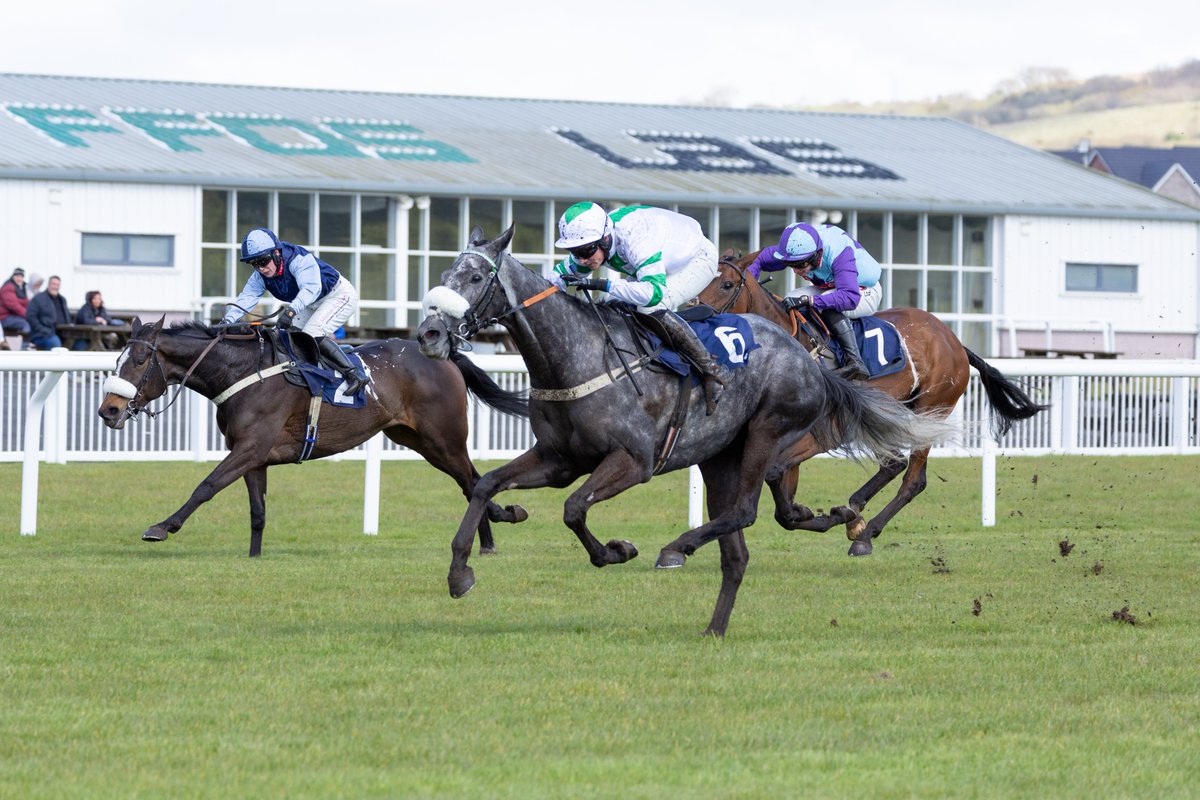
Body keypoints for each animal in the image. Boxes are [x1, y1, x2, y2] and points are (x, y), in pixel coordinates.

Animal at [100, 316, 532, 556]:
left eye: (140, 360)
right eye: (117, 359)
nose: (109, 410)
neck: (244, 372)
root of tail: (443, 355)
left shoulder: (250, 447)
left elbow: (206, 485)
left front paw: (161, 527)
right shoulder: (253, 454)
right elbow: (258, 512)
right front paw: (254, 558)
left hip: (444, 439)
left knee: (473, 481)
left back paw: (493, 534)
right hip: (416, 440)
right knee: (468, 482)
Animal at [417, 225, 960, 638]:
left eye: (474, 276)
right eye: (444, 275)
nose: (428, 334)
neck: (578, 355)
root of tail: (805, 359)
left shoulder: (632, 461)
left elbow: (573, 509)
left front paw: (617, 550)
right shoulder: (558, 460)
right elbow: (486, 485)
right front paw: (460, 572)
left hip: (769, 432)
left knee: (751, 509)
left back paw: (682, 547)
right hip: (719, 457)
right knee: (739, 548)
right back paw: (717, 623)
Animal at [700, 255, 1046, 556]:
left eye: (727, 284)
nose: (697, 317)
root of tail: (954, 340)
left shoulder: (826, 429)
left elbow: (775, 475)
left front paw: (829, 516)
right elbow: (782, 498)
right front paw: (817, 513)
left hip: (930, 410)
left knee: (912, 479)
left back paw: (865, 535)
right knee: (894, 464)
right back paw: (856, 513)